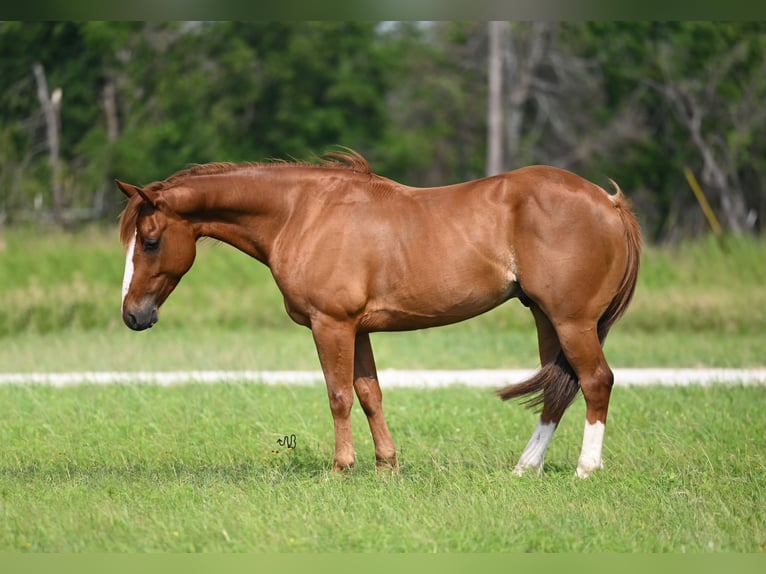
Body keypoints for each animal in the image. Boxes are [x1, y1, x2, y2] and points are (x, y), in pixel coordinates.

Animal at [118, 148, 640, 476]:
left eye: (150, 240)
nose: (133, 316)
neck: (302, 212)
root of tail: (608, 201)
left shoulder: (331, 324)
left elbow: (338, 396)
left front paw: (340, 468)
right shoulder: (359, 329)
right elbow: (369, 393)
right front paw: (387, 465)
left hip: (572, 321)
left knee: (596, 382)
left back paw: (586, 469)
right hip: (545, 318)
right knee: (559, 390)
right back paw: (525, 468)